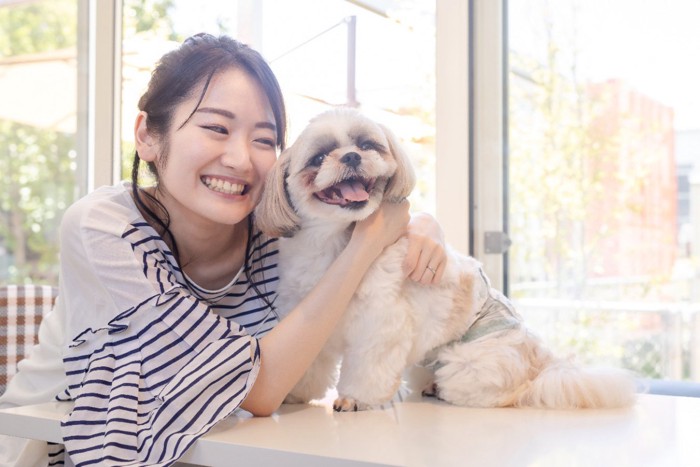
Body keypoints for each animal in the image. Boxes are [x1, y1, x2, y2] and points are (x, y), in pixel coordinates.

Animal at [254, 108, 636, 412]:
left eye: (367, 145)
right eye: (319, 159)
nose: (350, 157)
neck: (335, 244)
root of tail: (543, 364)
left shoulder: (380, 324)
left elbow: (368, 366)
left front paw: (354, 398)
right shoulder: (308, 316)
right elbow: (308, 362)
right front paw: (295, 394)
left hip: (474, 366)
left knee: (506, 392)